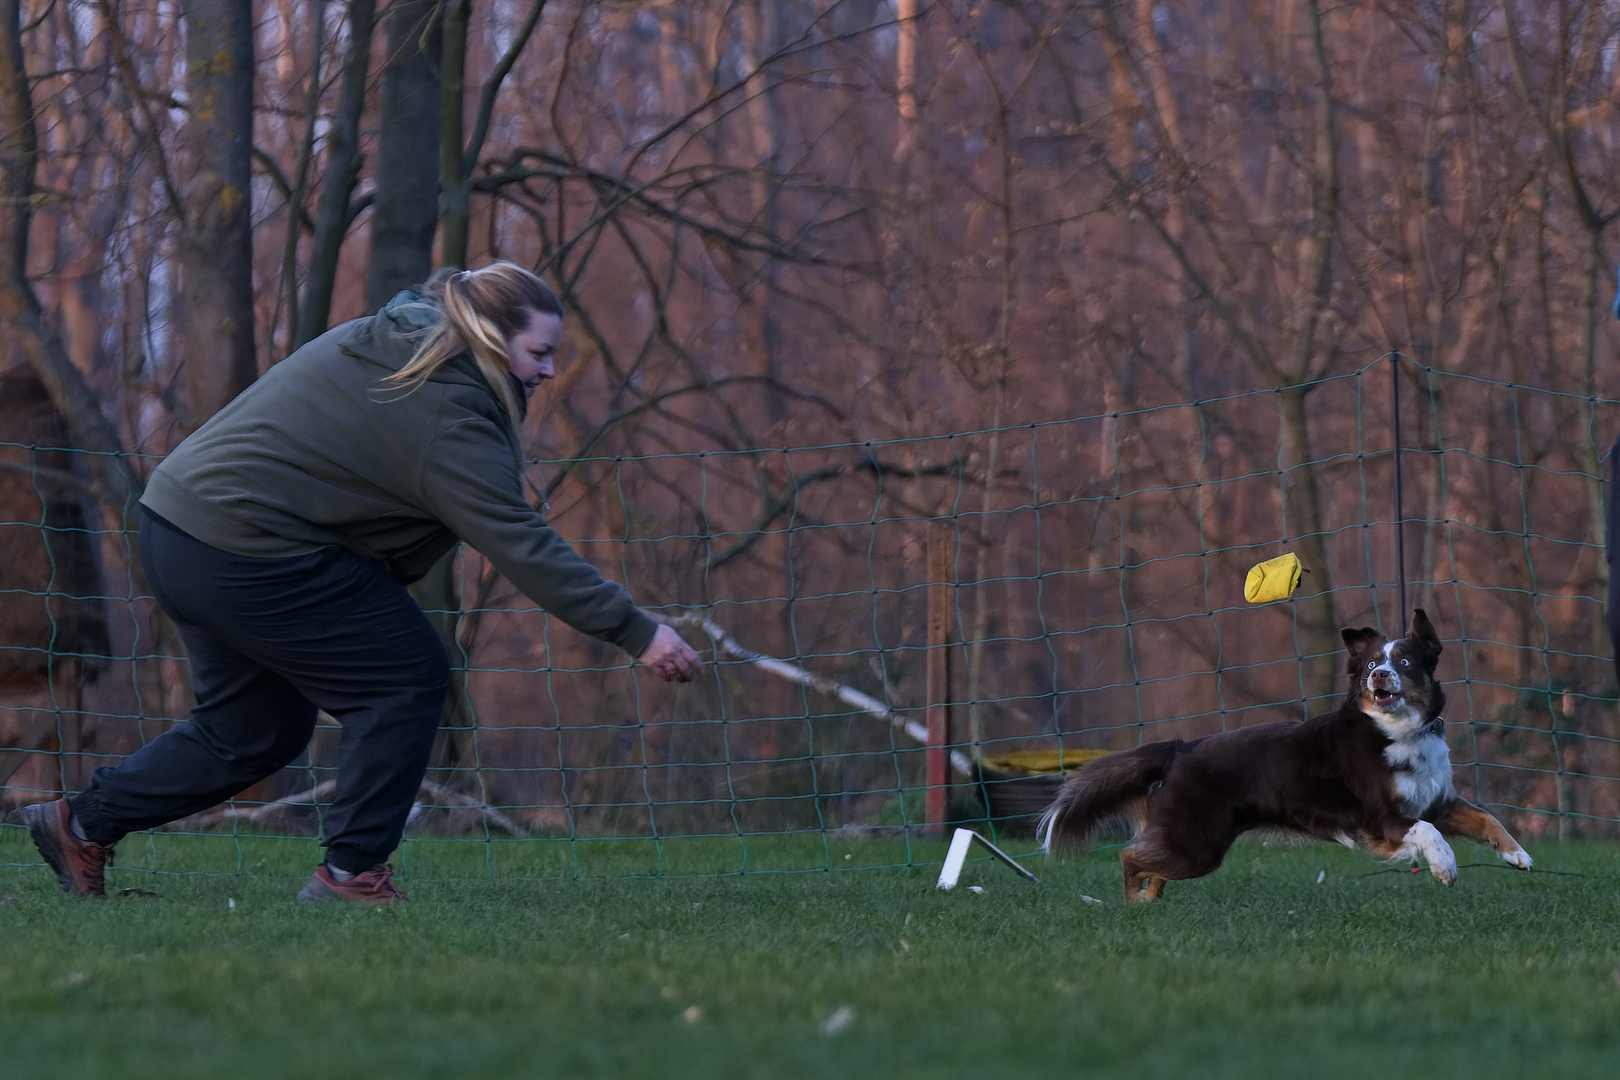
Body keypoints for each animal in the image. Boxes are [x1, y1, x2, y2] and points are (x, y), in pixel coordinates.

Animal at [1036, 608, 1529, 906]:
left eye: (1405, 662)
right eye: (1372, 664)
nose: (1379, 677)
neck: (1398, 732)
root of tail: (1182, 748)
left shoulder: (1437, 799)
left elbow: (1485, 818)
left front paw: (1517, 856)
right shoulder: (1380, 818)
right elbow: (1428, 833)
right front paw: (1445, 867)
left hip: (1193, 846)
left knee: (1151, 865)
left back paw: (1148, 903)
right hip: (1196, 844)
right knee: (1129, 857)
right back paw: (1132, 904)